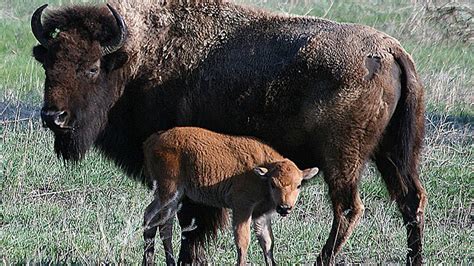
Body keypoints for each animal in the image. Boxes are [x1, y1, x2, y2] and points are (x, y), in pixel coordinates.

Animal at [142, 127, 318, 264]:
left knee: (160, 222)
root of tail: (152, 140)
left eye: (298, 185)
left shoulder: (260, 215)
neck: (263, 173)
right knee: (156, 219)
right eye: (273, 184)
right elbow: (243, 241)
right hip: (169, 192)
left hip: (172, 197)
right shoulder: (242, 208)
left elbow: (267, 242)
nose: (284, 207)